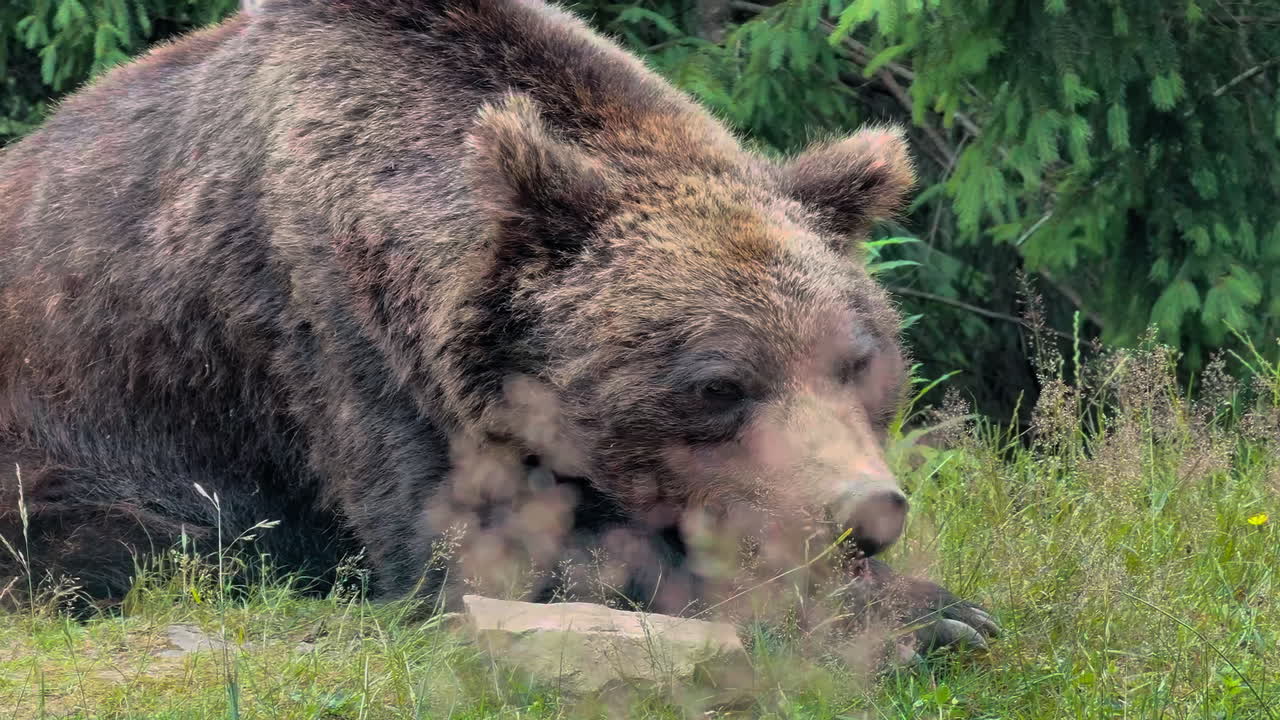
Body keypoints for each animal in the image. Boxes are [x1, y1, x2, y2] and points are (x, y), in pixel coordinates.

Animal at [0, 0, 997, 656]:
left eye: (858, 362)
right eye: (719, 382)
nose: (864, 511)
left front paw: (939, 605)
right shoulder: (336, 340)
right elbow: (476, 552)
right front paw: (921, 615)